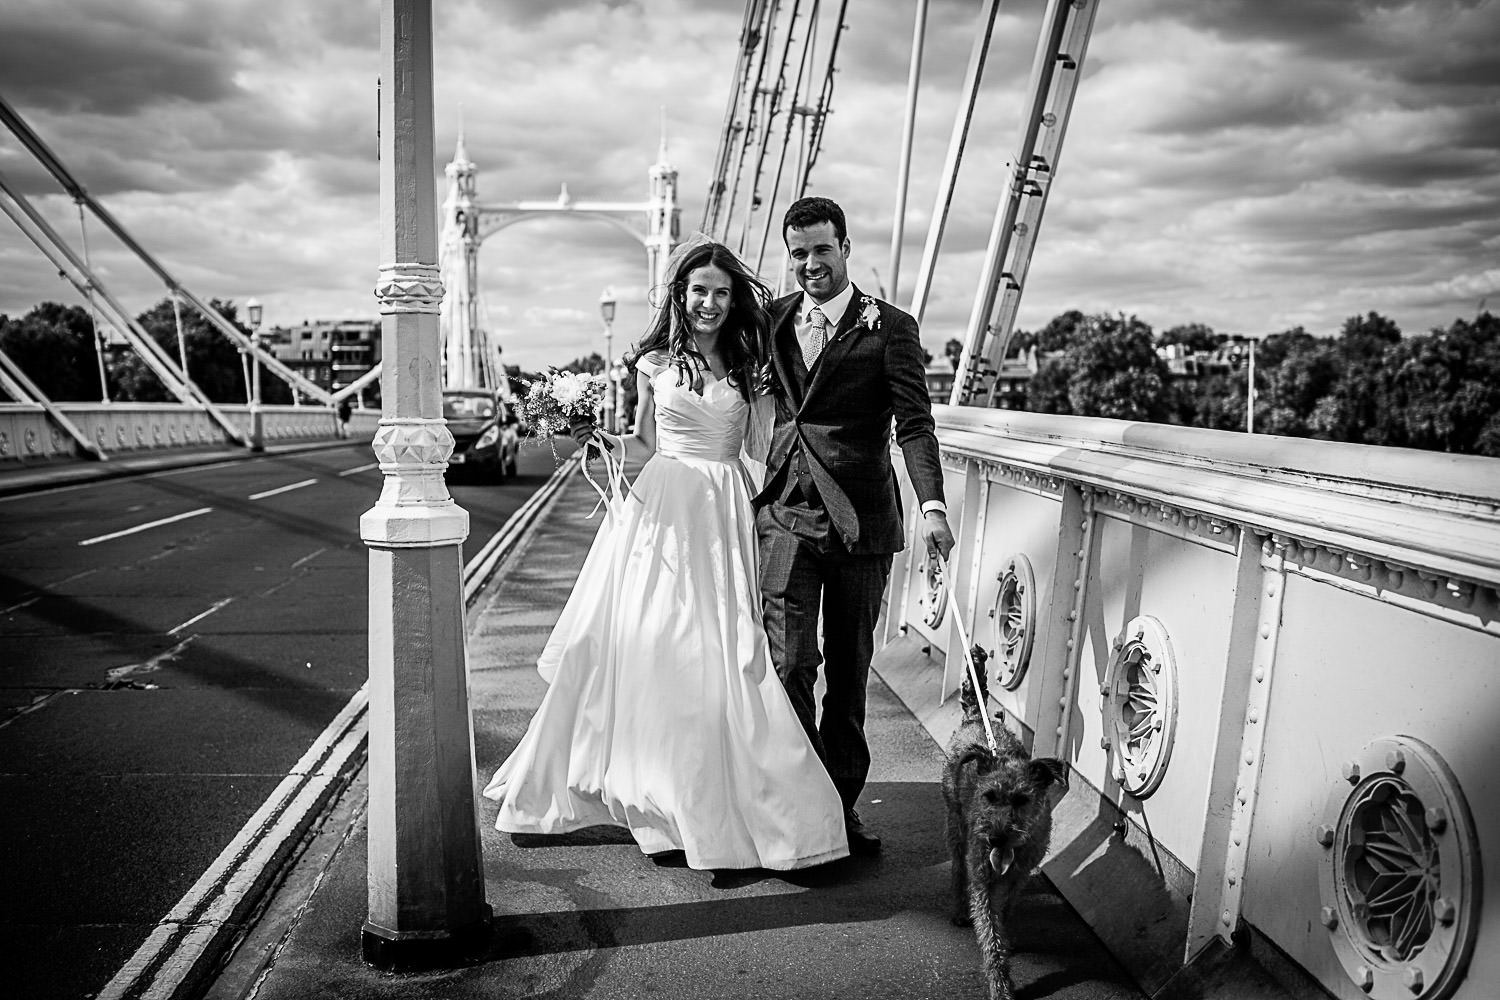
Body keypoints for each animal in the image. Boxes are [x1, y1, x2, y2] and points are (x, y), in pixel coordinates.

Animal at [942, 650, 1074, 1000]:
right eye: (989, 795)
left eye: (1021, 799)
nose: (997, 838)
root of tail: (976, 719)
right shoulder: (982, 880)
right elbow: (991, 933)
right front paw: (1000, 986)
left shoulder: (1019, 875)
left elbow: (1005, 909)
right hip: (955, 825)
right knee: (958, 869)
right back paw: (959, 911)